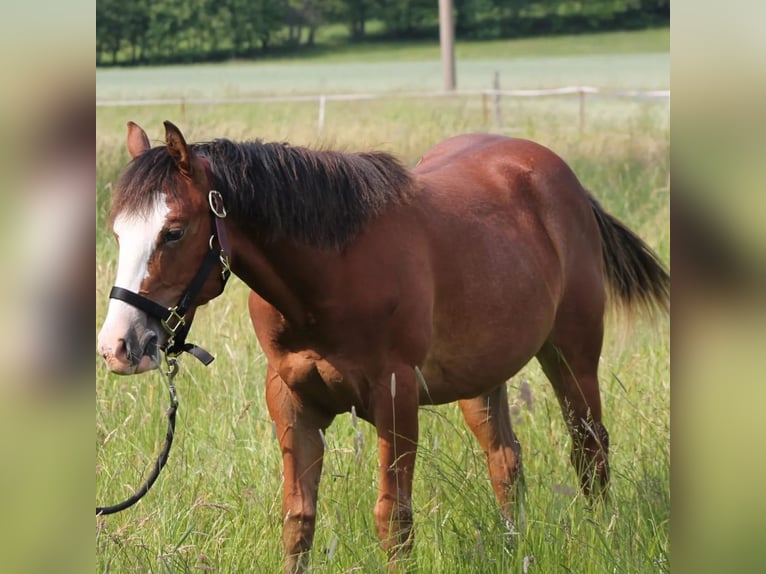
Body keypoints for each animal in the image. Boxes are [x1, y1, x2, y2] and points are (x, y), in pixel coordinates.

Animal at [97, 120, 672, 572]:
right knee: (506, 461)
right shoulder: (290, 400)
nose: (118, 345)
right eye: (119, 232)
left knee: (589, 450)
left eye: (173, 231)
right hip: (483, 378)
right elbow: (298, 518)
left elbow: (393, 519)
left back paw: (603, 538)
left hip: (573, 354)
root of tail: (558, 175)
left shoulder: (395, 398)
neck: (331, 273)